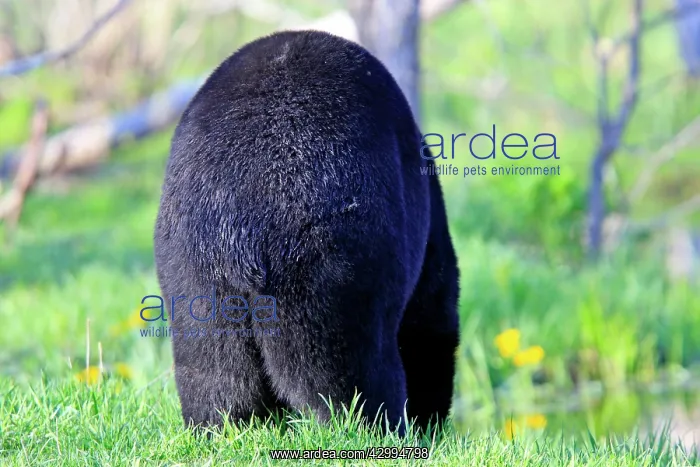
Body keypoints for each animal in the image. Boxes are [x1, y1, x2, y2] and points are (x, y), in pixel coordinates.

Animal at [153, 30, 460, 435]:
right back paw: (376, 427)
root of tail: (244, 226)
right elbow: (431, 320)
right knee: (352, 380)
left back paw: (219, 428)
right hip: (333, 271)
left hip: (192, 272)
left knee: (216, 377)